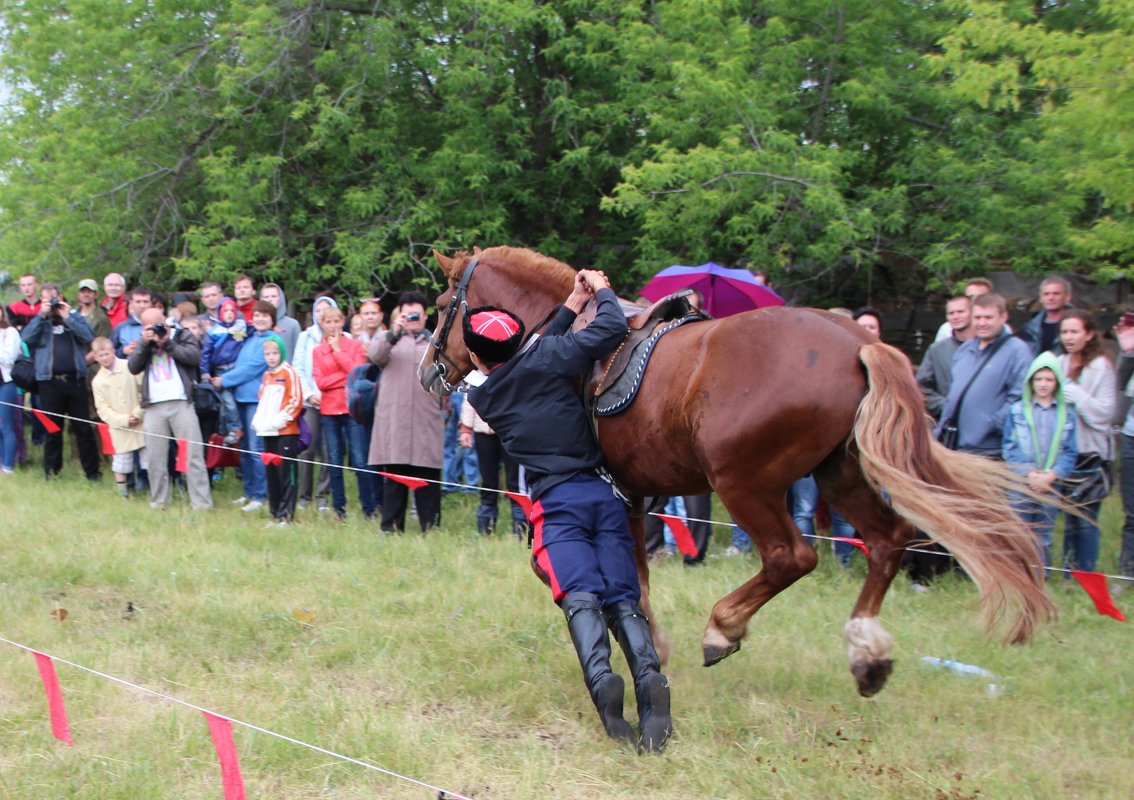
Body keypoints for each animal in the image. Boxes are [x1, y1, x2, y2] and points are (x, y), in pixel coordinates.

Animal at [424, 246, 1052, 694]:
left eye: (441, 303)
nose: (430, 370)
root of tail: (859, 343)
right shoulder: (634, 495)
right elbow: (632, 574)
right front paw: (649, 643)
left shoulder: (617, 496)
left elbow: (597, 573)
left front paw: (653, 645)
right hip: (840, 474)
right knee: (887, 539)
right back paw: (866, 652)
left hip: (745, 484)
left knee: (791, 556)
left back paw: (724, 628)